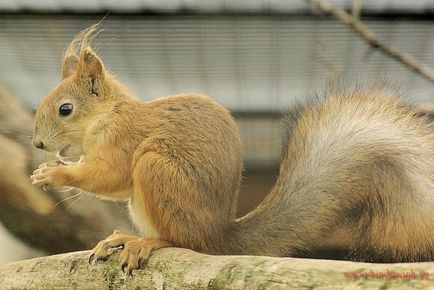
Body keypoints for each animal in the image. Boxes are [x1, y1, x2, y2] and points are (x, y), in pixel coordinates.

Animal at [31, 24, 434, 272]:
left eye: (65, 109)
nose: (37, 143)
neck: (106, 116)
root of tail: (218, 235)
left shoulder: (124, 139)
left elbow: (109, 175)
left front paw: (54, 173)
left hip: (157, 169)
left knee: (180, 240)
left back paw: (144, 242)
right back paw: (121, 238)